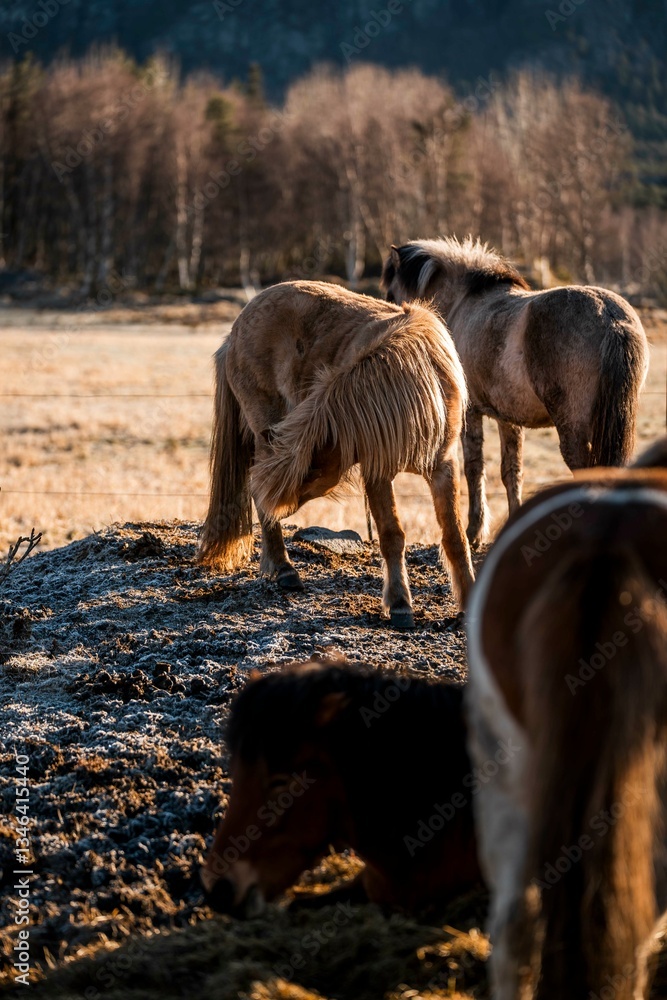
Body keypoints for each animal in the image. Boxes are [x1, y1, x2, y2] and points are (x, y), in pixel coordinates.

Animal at [198, 279, 474, 626]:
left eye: (312, 472)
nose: (279, 507)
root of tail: (233, 334)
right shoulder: (377, 469)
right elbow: (391, 535)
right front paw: (400, 605)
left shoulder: (443, 465)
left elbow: (455, 536)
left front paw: (470, 600)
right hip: (264, 431)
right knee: (255, 487)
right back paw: (285, 569)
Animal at [382, 236, 649, 549]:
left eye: (391, 292)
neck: (464, 304)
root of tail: (610, 317)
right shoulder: (508, 419)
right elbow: (512, 472)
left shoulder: (471, 414)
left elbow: (474, 468)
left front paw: (474, 532)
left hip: (573, 429)